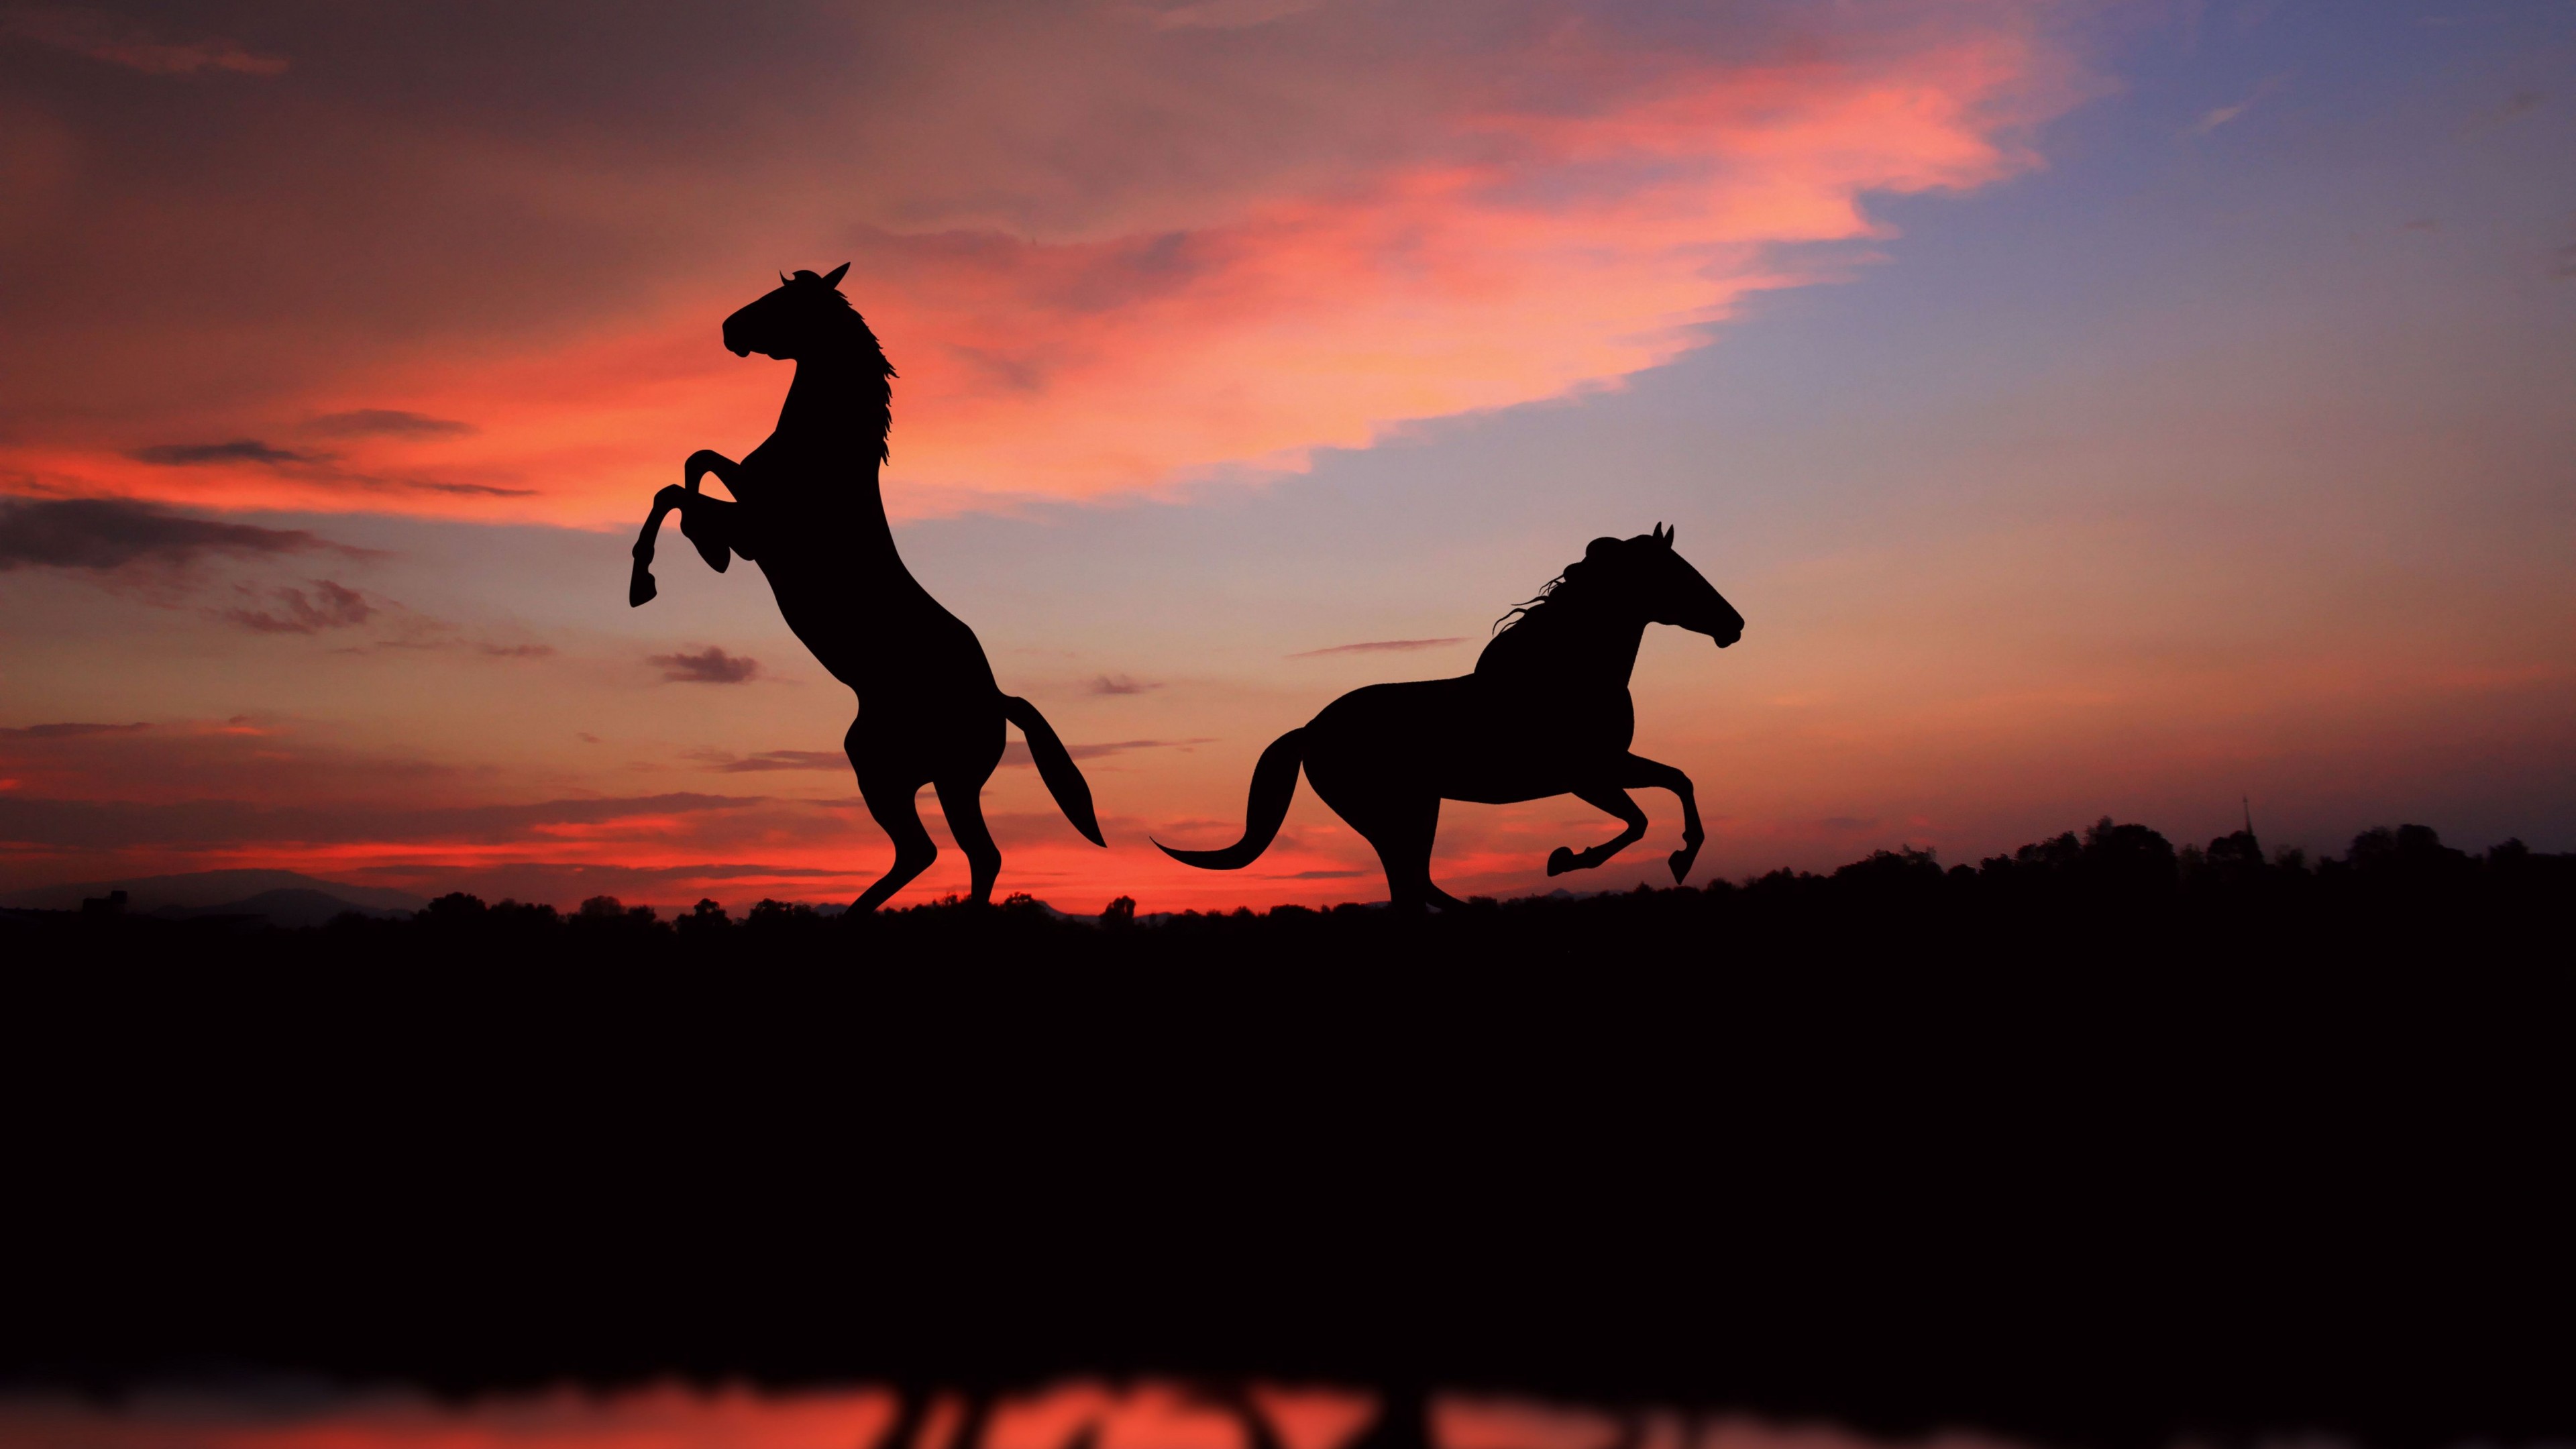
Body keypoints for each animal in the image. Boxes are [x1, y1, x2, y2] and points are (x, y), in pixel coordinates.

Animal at [628, 264, 1104, 913]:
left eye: (784, 300)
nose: (729, 330)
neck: (823, 453)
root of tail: (997, 698)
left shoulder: (759, 528)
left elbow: (680, 488)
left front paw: (655, 575)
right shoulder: (750, 502)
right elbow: (695, 466)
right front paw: (699, 553)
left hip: (911, 773)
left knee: (950, 852)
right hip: (912, 772)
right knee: (951, 853)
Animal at [1156, 526, 1743, 909]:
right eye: (1679, 574)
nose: (1734, 625)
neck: (1566, 670)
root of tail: (1311, 731)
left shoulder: (1611, 764)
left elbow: (1679, 782)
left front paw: (1681, 858)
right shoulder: (1586, 774)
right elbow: (1639, 820)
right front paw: (1563, 859)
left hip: (1418, 808)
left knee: (1413, 888)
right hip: (1393, 813)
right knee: (1412, 886)